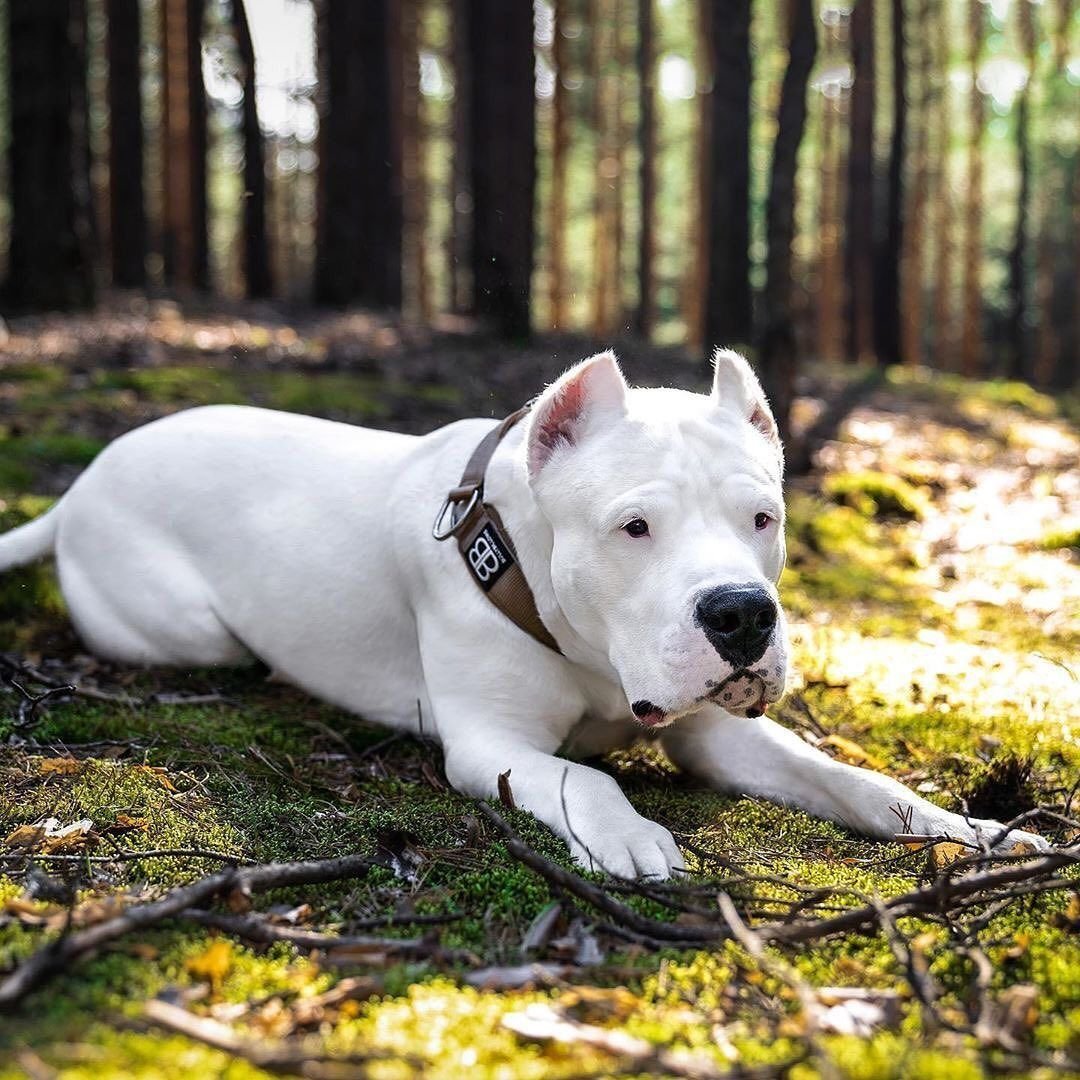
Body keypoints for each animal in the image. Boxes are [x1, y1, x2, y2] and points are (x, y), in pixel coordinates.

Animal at [0, 354, 1045, 876]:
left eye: (763, 519)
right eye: (635, 527)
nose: (743, 616)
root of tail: (82, 480)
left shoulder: (719, 734)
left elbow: (852, 781)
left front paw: (972, 831)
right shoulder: (491, 746)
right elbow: (586, 780)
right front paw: (630, 834)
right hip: (187, 629)